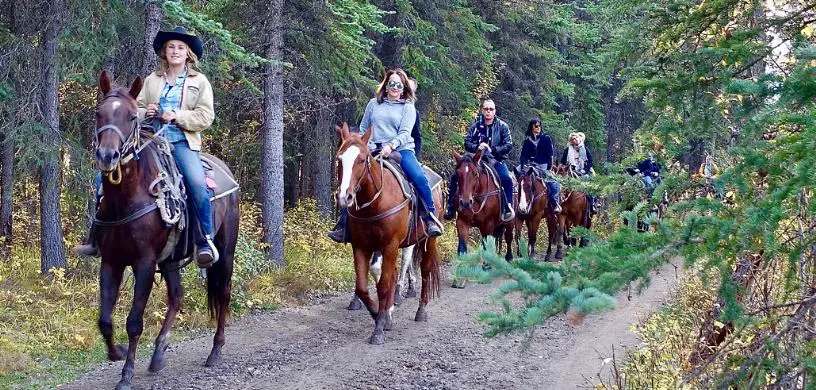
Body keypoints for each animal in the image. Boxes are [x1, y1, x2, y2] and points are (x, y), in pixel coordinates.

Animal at [94, 71, 239, 390]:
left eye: (131, 116)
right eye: (99, 113)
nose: (108, 156)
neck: (127, 198)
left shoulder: (145, 263)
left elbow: (134, 322)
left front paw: (126, 375)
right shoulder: (110, 261)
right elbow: (105, 319)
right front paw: (116, 352)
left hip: (225, 249)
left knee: (223, 292)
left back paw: (216, 351)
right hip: (171, 259)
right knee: (177, 296)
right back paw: (159, 353)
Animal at [334, 122, 444, 344]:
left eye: (362, 159)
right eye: (339, 159)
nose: (344, 197)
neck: (376, 201)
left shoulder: (390, 245)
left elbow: (384, 284)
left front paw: (379, 328)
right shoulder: (361, 246)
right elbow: (363, 286)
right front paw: (380, 314)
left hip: (427, 240)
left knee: (425, 270)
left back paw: (421, 311)